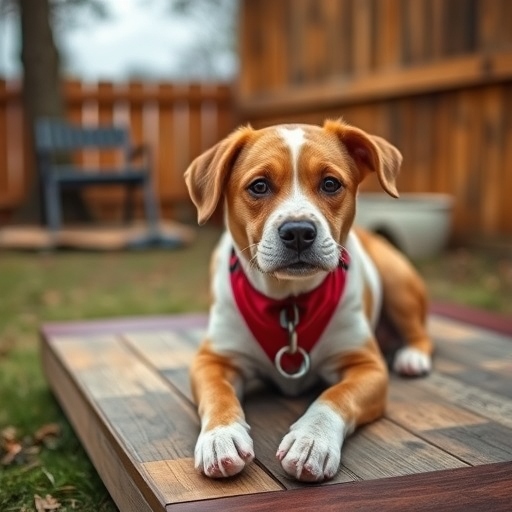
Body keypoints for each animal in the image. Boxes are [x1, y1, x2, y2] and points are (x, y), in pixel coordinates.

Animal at [184, 121, 432, 484]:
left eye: (330, 183)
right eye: (259, 186)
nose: (299, 231)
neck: (289, 303)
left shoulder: (368, 366)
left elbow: (334, 397)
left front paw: (311, 440)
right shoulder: (212, 359)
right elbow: (218, 394)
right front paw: (221, 435)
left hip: (397, 279)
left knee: (420, 332)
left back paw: (413, 356)